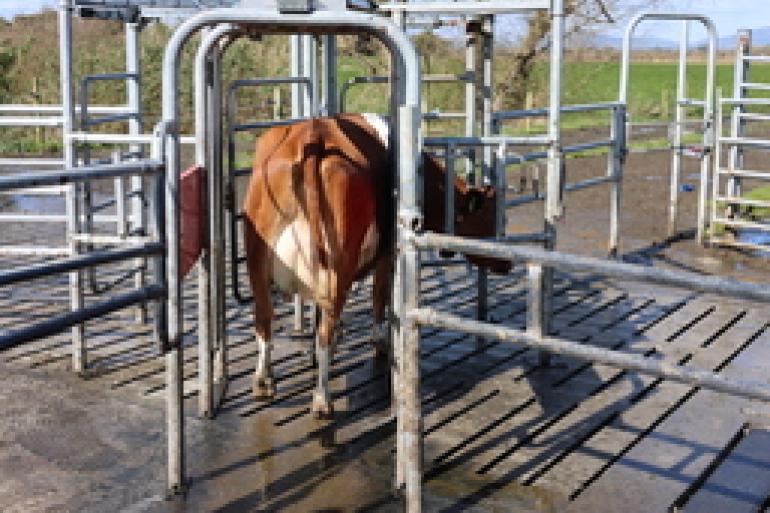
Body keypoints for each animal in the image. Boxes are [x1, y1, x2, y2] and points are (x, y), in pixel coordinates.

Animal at [241, 113, 508, 418]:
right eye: (493, 220)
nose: (509, 263)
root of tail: (312, 135)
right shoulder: (387, 253)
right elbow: (380, 296)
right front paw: (381, 341)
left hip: (258, 263)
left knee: (265, 320)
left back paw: (264, 381)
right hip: (337, 267)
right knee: (323, 332)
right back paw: (322, 398)